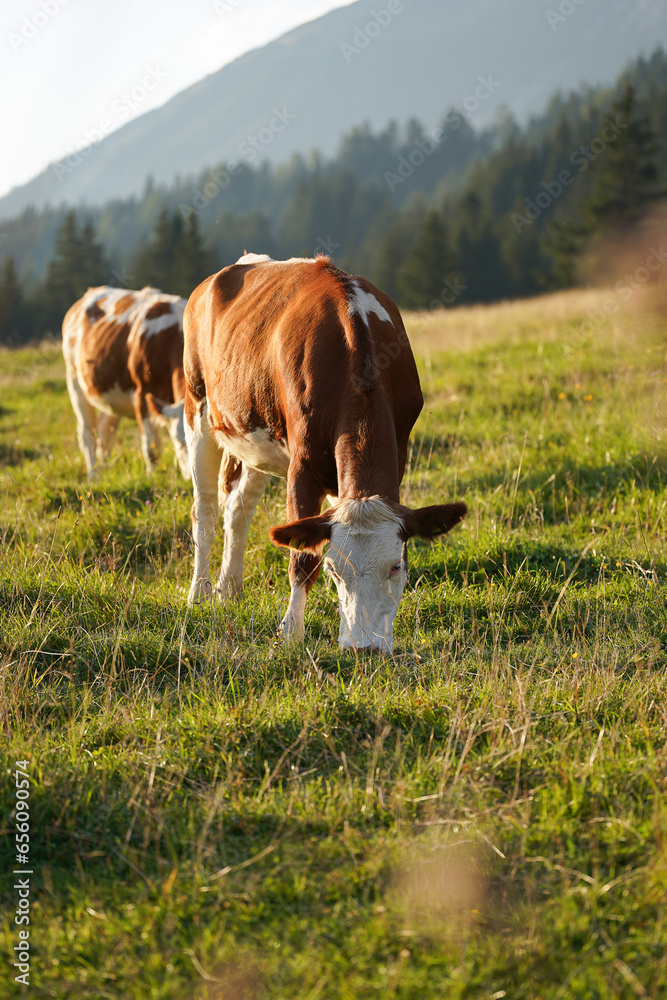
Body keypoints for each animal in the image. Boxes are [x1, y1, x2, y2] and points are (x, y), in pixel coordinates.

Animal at [62, 286, 191, 480]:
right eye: (179, 441)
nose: (192, 478)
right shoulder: (142, 393)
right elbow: (151, 448)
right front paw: (151, 476)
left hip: (113, 393)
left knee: (104, 430)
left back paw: (104, 467)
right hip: (75, 381)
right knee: (87, 433)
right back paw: (94, 475)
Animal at [183, 253, 466, 653]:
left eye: (396, 565)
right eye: (333, 569)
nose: (365, 648)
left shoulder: (396, 453)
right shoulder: (302, 467)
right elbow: (302, 556)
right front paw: (291, 632)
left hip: (255, 434)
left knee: (238, 507)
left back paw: (230, 589)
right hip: (197, 409)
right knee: (205, 511)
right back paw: (200, 593)